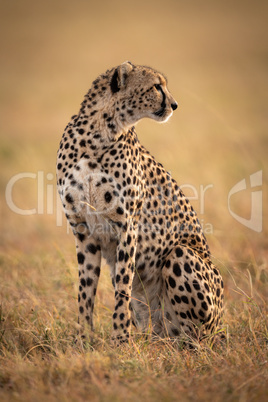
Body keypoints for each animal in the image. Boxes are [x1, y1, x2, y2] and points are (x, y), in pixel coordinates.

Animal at [56, 61, 224, 344]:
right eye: (156, 86)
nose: (175, 105)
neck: (98, 133)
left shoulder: (127, 226)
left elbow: (123, 286)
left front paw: (120, 338)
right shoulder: (83, 231)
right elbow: (85, 290)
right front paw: (82, 339)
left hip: (181, 255)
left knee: (194, 337)